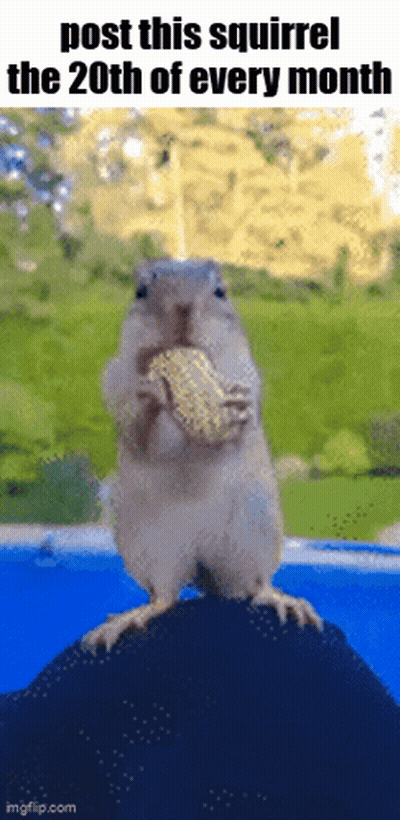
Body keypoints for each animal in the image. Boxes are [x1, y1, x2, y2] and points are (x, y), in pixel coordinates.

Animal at [82, 258, 322, 651]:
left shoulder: (247, 373)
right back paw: (128, 619)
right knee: (163, 597)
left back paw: (282, 599)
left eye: (220, 292)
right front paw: (151, 396)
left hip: (252, 535)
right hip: (152, 548)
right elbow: (139, 430)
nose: (182, 308)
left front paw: (239, 409)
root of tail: (203, 566)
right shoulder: (115, 384)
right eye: (140, 291)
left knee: (256, 585)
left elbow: (244, 422)